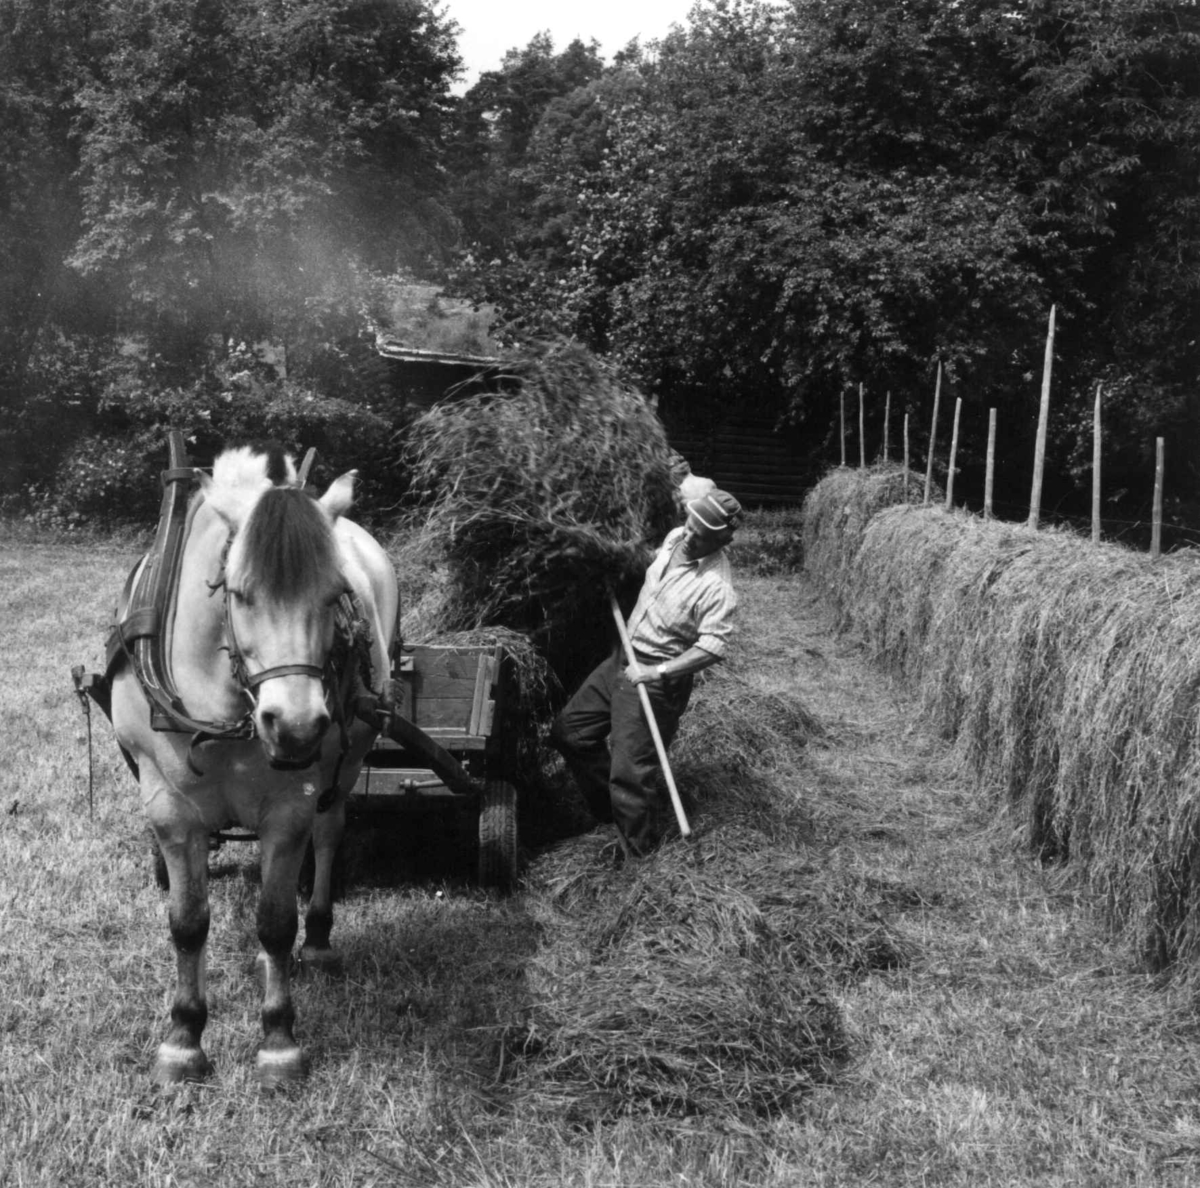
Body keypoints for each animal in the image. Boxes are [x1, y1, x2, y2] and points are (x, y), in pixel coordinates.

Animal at [109, 444, 398, 1089]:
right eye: (238, 593)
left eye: (335, 595)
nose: (295, 725)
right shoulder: (169, 807)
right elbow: (188, 922)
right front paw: (184, 1037)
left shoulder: (289, 807)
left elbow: (275, 922)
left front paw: (278, 1040)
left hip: (347, 761)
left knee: (329, 832)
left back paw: (319, 937)